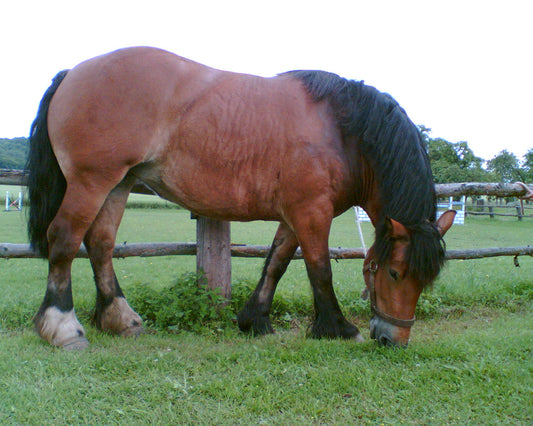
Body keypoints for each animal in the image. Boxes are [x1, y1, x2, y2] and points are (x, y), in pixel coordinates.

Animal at [27, 46, 454, 350]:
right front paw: (337, 328)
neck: (343, 131)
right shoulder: (313, 212)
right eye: (394, 272)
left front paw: (254, 320)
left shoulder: (296, 214)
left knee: (100, 244)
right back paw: (63, 327)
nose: (392, 340)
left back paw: (120, 319)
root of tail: (73, 72)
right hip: (91, 182)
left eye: (427, 279)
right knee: (64, 240)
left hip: (117, 185)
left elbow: (276, 263)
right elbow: (319, 269)